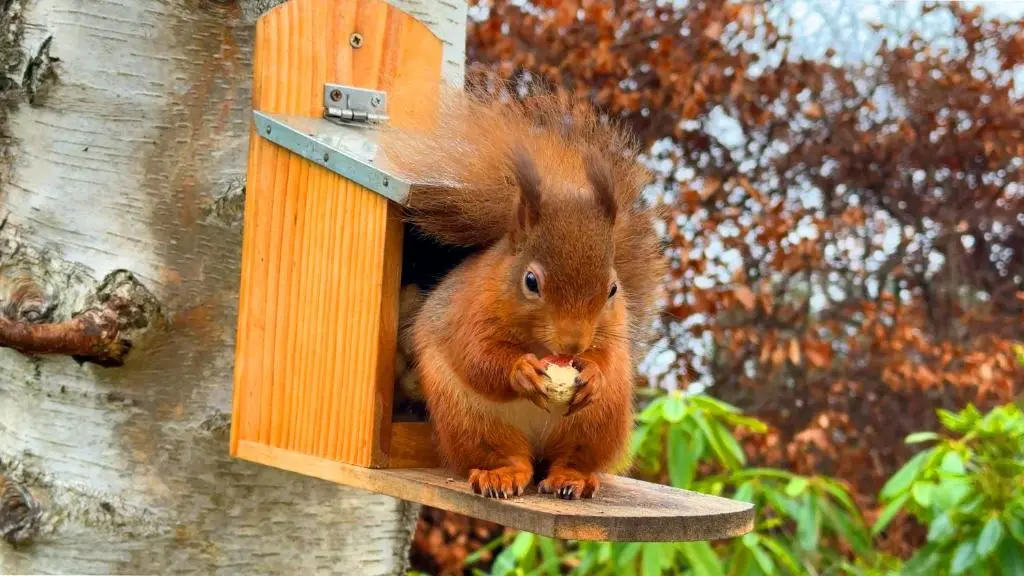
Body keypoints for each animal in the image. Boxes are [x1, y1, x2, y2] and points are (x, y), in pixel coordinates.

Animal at [380, 86, 666, 500]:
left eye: (613, 288)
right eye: (531, 282)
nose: (574, 345)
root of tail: (538, 447)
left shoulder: (615, 326)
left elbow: (610, 356)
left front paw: (594, 372)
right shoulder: (469, 309)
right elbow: (477, 356)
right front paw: (520, 371)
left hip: (598, 421)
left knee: (572, 457)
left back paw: (572, 478)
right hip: (468, 417)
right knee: (509, 456)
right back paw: (500, 475)